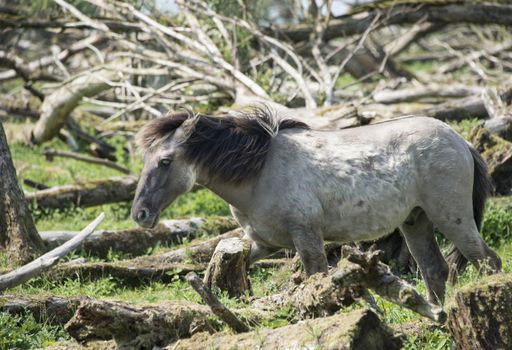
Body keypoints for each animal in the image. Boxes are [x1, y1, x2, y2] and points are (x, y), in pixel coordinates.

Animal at [130, 108, 502, 302]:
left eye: (165, 161)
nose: (140, 214)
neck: (259, 171)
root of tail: (460, 140)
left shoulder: (307, 237)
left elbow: (316, 280)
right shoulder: (263, 243)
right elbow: (225, 258)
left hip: (450, 216)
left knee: (487, 261)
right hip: (416, 221)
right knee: (435, 270)